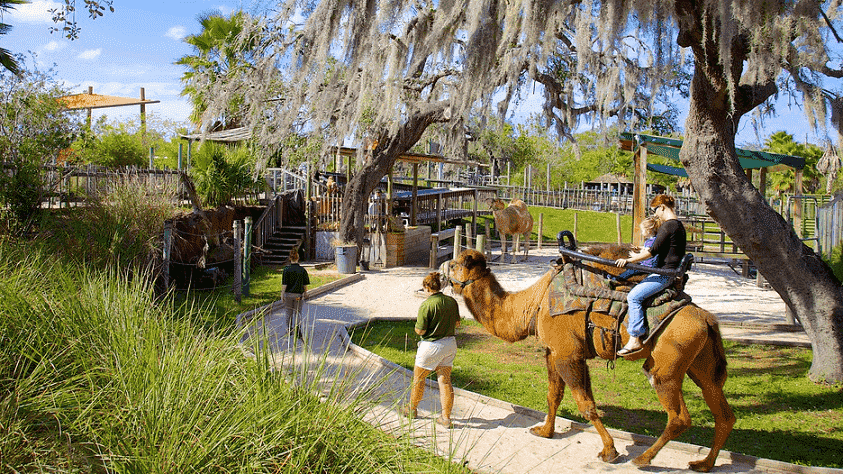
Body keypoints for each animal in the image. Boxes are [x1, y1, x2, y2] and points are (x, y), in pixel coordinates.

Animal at [446, 246, 736, 472]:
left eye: (455, 264)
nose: (441, 268)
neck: (534, 303)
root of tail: (708, 320)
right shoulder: (554, 352)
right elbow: (554, 395)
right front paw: (545, 431)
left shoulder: (568, 354)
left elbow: (586, 405)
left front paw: (610, 451)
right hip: (699, 364)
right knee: (722, 410)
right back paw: (704, 464)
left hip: (666, 365)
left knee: (679, 416)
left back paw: (643, 459)